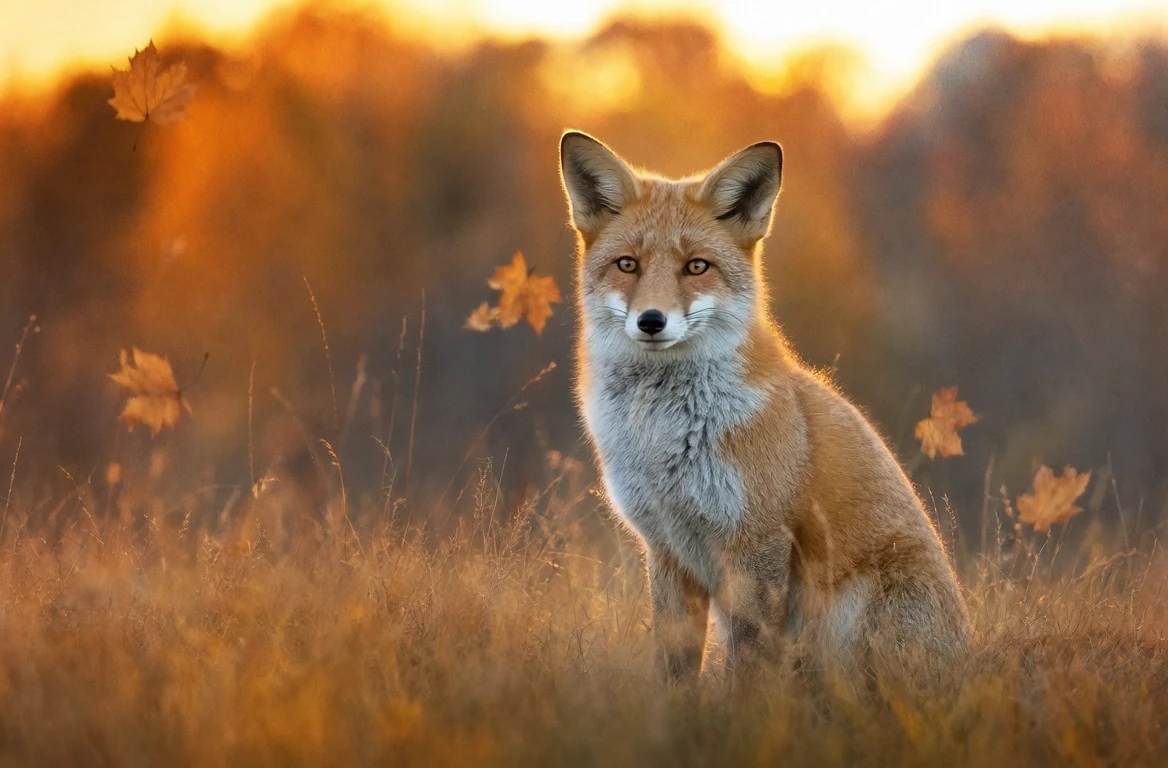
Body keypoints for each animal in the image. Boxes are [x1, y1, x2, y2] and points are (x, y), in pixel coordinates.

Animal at [558, 131, 972, 684]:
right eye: (628, 264)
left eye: (696, 266)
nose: (651, 321)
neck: (665, 438)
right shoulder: (666, 547)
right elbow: (675, 672)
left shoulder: (756, 543)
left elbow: (748, 669)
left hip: (853, 617)